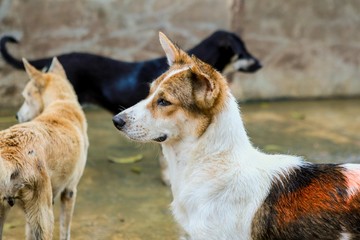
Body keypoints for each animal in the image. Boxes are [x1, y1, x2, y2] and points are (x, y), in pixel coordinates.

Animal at [0, 57, 88, 239]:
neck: (61, 101)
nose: (16, 116)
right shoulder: (70, 191)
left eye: (25, 97)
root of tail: (10, 155)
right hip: (44, 217)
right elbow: (65, 232)